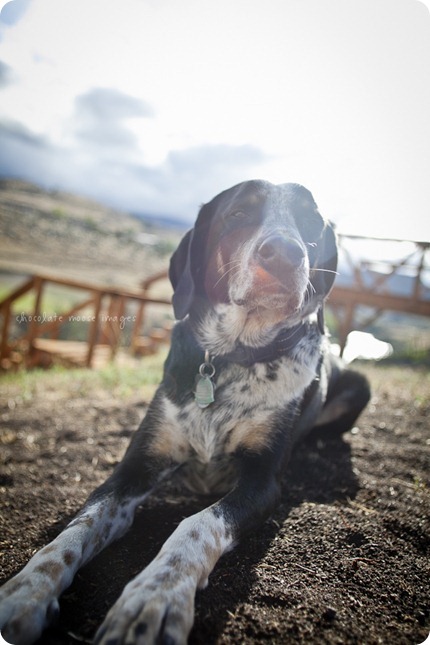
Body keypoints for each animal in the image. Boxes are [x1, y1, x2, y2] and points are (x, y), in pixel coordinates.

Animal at [0, 180, 370, 644]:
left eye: (309, 223)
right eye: (238, 214)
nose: (285, 253)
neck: (229, 356)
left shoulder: (262, 481)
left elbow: (197, 523)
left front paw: (153, 599)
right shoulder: (135, 467)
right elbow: (76, 528)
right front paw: (24, 592)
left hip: (361, 386)